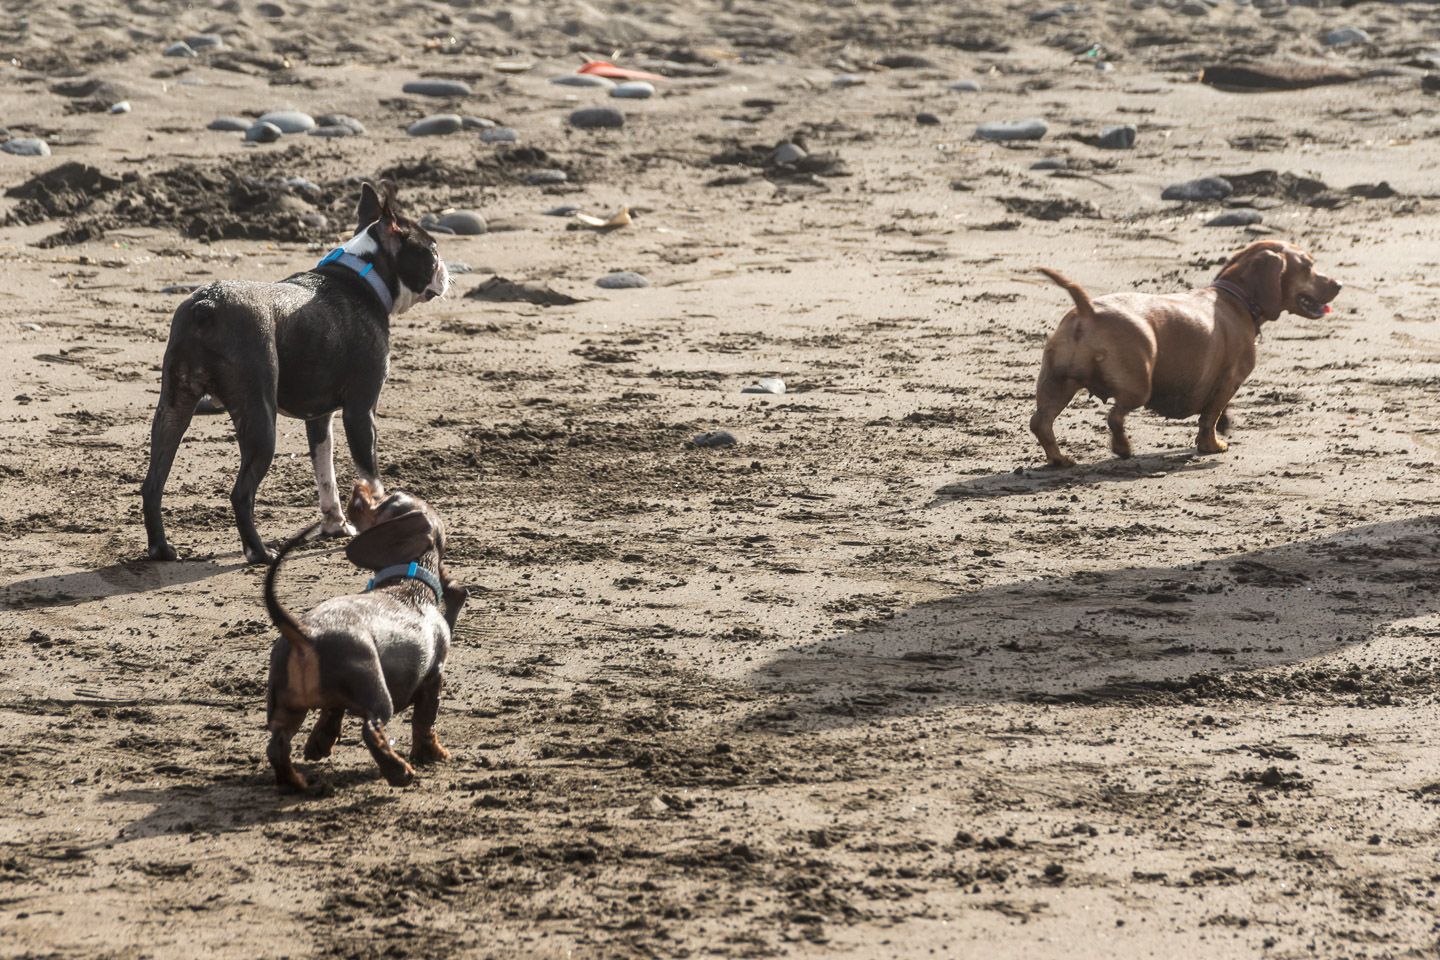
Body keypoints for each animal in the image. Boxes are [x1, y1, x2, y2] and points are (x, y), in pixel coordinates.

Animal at [141, 179, 446, 564]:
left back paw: (162, 548)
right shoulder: (361, 412)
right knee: (241, 493)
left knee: (153, 481)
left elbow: (325, 473)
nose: (446, 271)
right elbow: (369, 473)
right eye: (432, 251)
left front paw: (335, 525)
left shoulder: (319, 418)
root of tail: (207, 305)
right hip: (260, 418)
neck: (364, 276)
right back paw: (259, 552)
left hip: (174, 406)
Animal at [264, 483, 466, 794]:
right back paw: (399, 772)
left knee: (277, 746)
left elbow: (331, 714)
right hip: (378, 695)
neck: (408, 583)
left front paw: (319, 743)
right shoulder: (435, 675)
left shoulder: (335, 702)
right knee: (370, 730)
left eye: (385, 500)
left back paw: (296, 782)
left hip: (285, 706)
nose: (361, 485)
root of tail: (305, 634)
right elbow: (425, 722)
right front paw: (433, 754)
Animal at [1031, 238, 1342, 466]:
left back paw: (1059, 459)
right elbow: (1210, 418)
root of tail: (1088, 310)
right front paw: (1212, 445)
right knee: (1115, 417)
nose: (1338, 284)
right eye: (1308, 266)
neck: (1235, 298)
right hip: (1137, 387)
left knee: (1041, 423)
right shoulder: (1230, 381)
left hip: (1057, 383)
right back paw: (1123, 449)